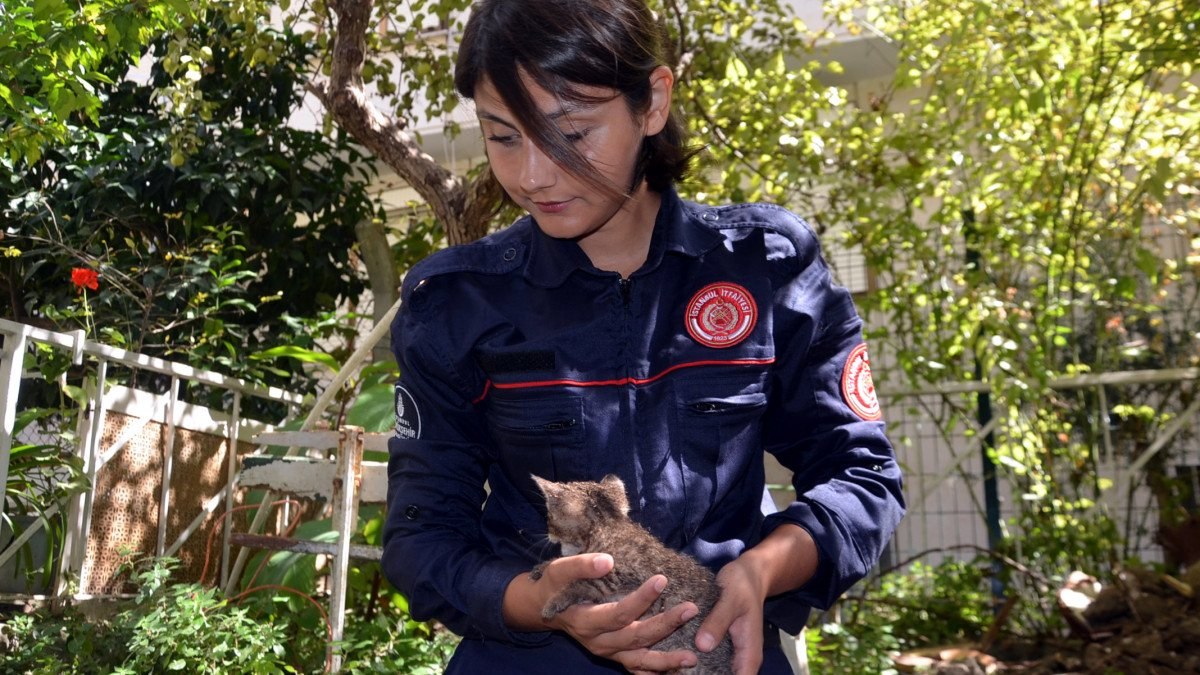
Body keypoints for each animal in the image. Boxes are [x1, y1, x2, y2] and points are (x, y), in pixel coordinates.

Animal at [532, 473, 729, 672]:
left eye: (549, 517)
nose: (548, 533)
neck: (609, 528)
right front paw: (545, 566)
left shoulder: (627, 576)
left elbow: (585, 582)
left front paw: (555, 601)